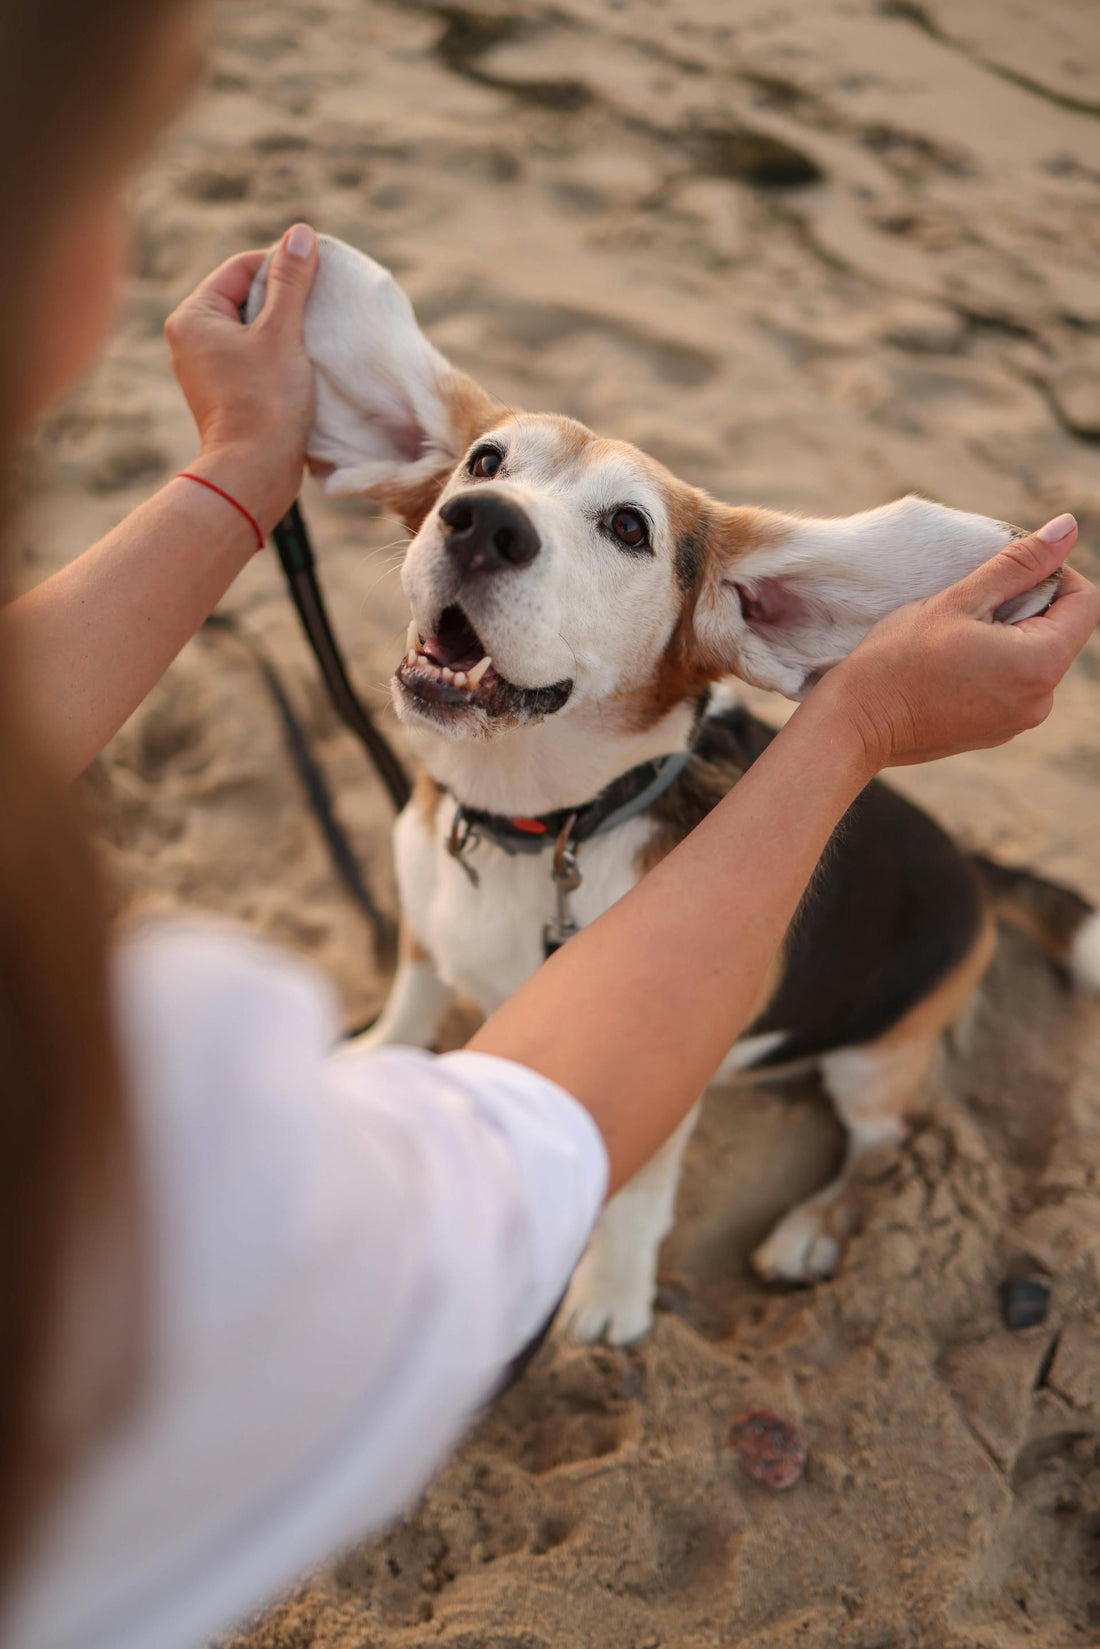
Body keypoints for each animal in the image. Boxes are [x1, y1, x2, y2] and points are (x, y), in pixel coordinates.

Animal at [249, 239, 1100, 1345]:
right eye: (485, 462)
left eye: (627, 527)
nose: (482, 523)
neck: (537, 824)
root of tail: (973, 861)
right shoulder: (424, 938)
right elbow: (405, 1013)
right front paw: (362, 1071)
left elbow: (636, 1197)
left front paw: (608, 1298)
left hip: (874, 1059)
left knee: (885, 1144)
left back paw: (809, 1229)